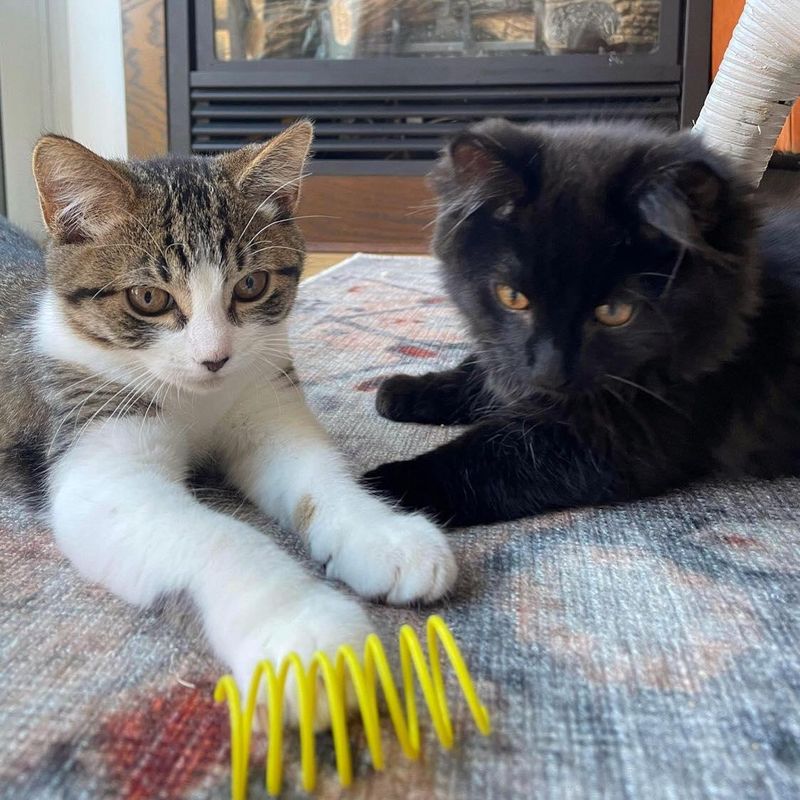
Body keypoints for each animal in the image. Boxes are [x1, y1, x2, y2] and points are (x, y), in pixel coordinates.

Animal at [1, 126, 456, 720]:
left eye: (251, 285)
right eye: (148, 297)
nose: (214, 358)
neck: (198, 401)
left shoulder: (265, 398)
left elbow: (314, 474)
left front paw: (386, 536)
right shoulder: (90, 433)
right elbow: (216, 538)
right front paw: (306, 633)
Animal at [366, 120, 800, 524]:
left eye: (614, 313)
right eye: (512, 297)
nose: (549, 371)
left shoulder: (612, 441)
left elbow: (486, 458)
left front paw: (379, 493)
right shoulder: (509, 356)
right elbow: (481, 369)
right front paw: (406, 390)